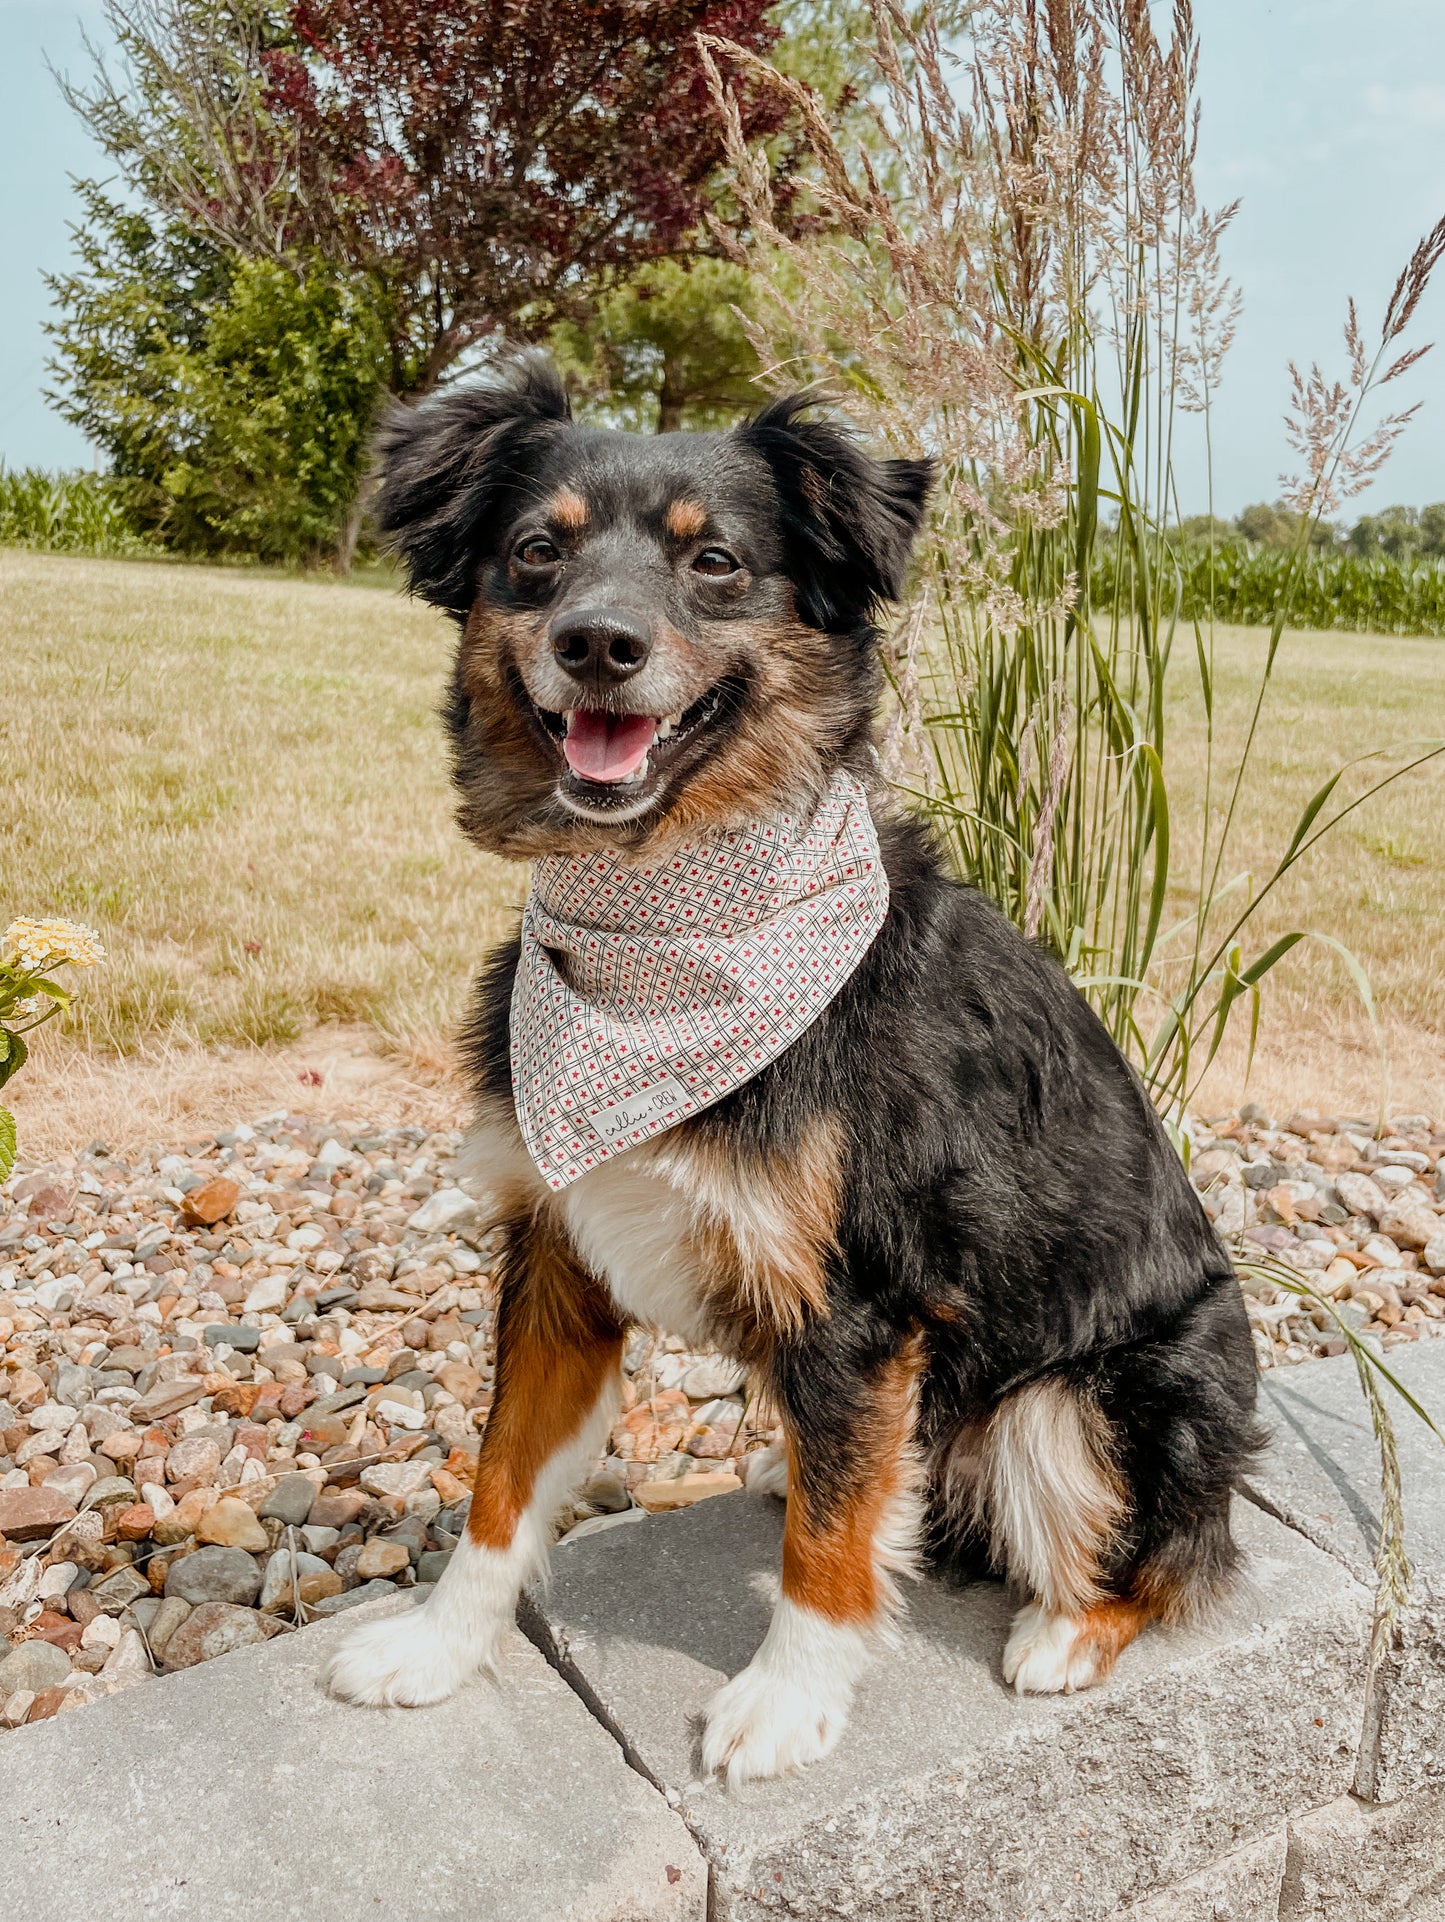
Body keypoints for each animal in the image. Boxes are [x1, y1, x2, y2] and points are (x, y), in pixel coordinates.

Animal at [320, 357, 1260, 1783]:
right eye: (536, 551)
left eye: (714, 561)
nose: (598, 642)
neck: (664, 920)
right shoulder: (558, 1256)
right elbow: (497, 1483)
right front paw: (436, 1645)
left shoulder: (860, 1296)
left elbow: (829, 1544)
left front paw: (786, 1696)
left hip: (1091, 1394)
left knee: (1178, 1553)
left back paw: (1065, 1627)